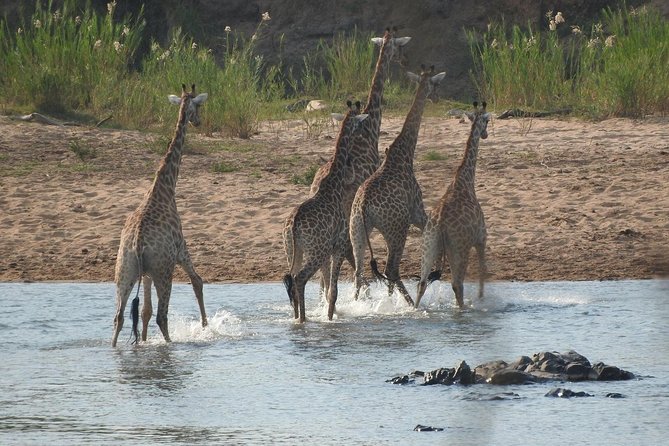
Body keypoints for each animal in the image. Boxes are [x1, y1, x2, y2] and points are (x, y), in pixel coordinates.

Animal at [111, 84, 209, 348]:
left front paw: (143, 342)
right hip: (164, 272)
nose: (198, 122)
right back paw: (170, 344)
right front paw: (206, 326)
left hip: (125, 272)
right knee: (162, 317)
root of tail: (136, 244)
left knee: (119, 317)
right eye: (199, 105)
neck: (164, 189)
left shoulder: (146, 273)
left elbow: (145, 311)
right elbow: (198, 281)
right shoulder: (181, 248)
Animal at [280, 103, 368, 322]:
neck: (334, 184)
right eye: (359, 122)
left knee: (291, 280)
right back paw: (303, 320)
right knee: (300, 278)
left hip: (292, 250)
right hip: (316, 251)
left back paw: (297, 319)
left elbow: (328, 289)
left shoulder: (330, 249)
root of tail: (293, 226)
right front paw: (329, 319)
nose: (363, 131)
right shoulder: (339, 245)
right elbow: (333, 292)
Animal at [348, 65, 446, 304]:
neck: (405, 152)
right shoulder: (416, 211)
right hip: (396, 228)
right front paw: (436, 271)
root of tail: (363, 207)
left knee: (359, 272)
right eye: (436, 84)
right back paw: (412, 304)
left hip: (357, 229)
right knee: (390, 269)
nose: (437, 97)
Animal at [414, 102, 494, 308]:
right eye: (487, 121)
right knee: (457, 284)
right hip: (459, 247)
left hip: (429, 244)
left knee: (422, 283)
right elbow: (483, 270)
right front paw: (481, 298)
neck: (464, 181)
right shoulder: (481, 237)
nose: (485, 134)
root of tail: (441, 224)